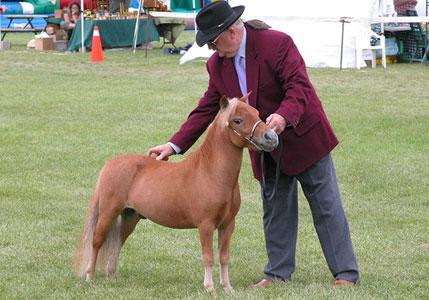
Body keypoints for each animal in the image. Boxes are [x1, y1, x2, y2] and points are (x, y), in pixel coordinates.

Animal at [74, 95, 278, 290]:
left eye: (257, 113)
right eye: (237, 120)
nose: (271, 137)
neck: (210, 173)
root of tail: (109, 164)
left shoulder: (227, 225)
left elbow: (224, 256)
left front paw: (227, 287)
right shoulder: (205, 226)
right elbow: (208, 257)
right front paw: (209, 287)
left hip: (130, 217)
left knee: (117, 242)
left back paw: (111, 276)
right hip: (108, 213)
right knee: (97, 241)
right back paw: (90, 276)